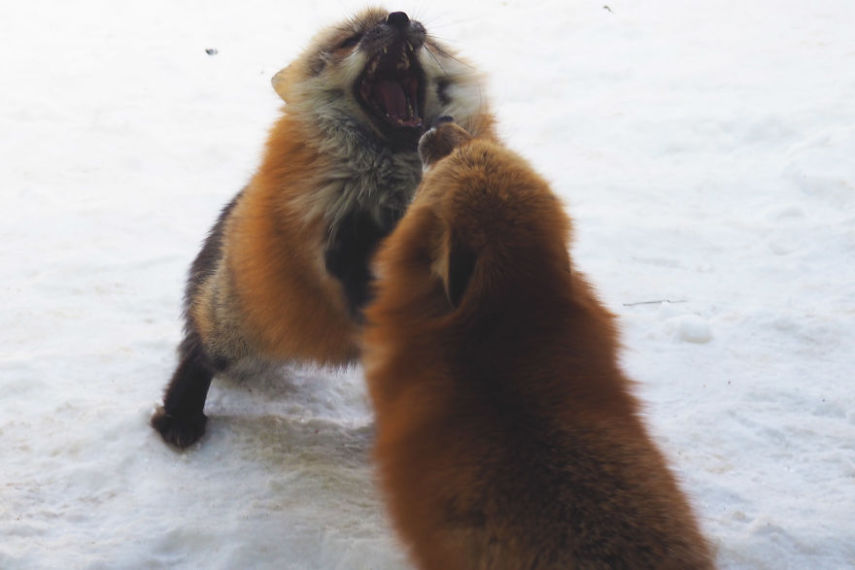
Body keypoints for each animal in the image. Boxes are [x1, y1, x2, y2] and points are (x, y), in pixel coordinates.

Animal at [150, 6, 492, 446]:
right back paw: (181, 413)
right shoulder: (338, 240)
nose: (399, 18)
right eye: (351, 39)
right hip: (239, 326)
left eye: (426, 35)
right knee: (202, 351)